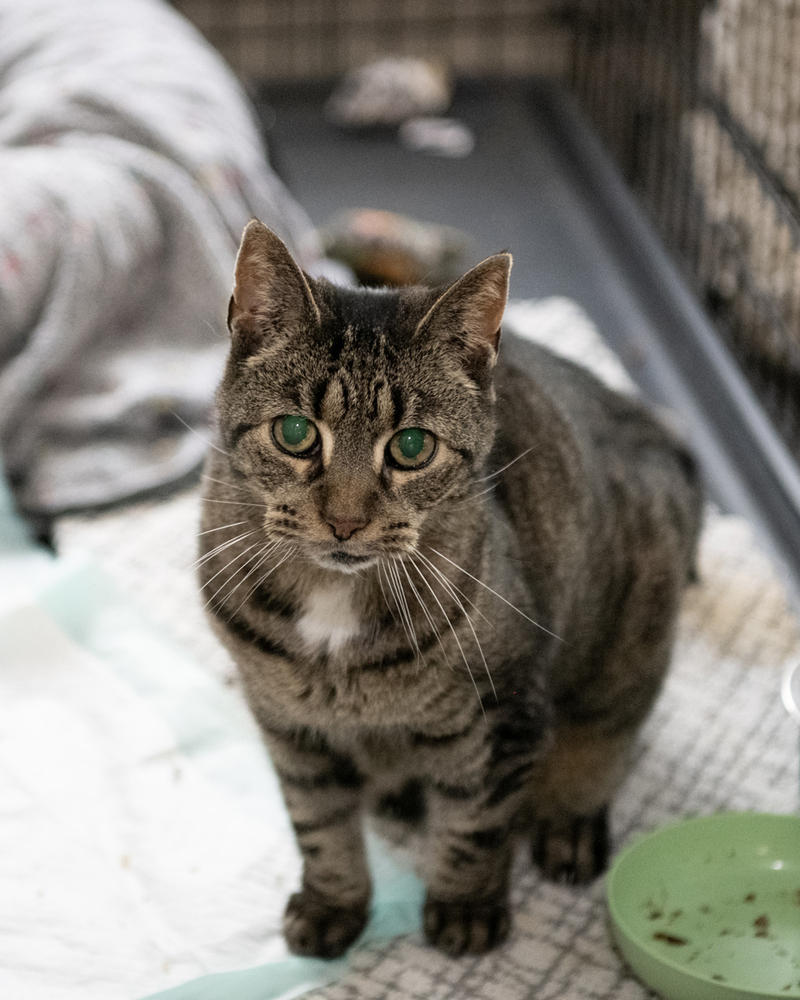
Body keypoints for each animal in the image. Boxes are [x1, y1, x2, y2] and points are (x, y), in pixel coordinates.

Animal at [198, 221, 700, 960]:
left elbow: (475, 827)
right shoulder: (289, 726)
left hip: (633, 632)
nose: (345, 521)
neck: (334, 606)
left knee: (604, 734)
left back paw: (568, 819)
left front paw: (465, 909)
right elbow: (318, 824)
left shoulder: (502, 716)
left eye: (411, 447)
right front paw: (333, 903)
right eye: (295, 434)